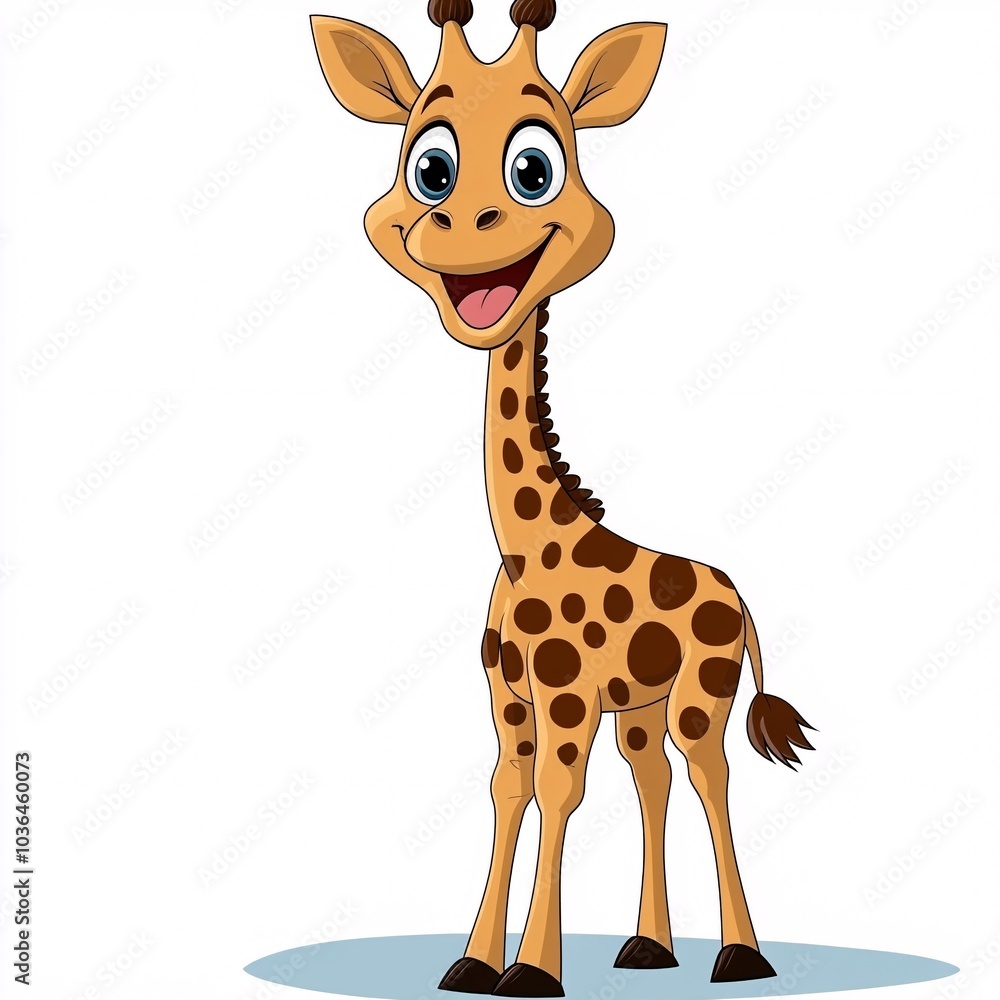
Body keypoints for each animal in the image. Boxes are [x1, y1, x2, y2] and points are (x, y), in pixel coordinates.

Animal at [311, 2, 815, 995]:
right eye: (428, 165)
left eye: (535, 169)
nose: (459, 224)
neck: (522, 543)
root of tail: (738, 596)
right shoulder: (508, 692)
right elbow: (510, 788)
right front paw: (475, 961)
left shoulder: (566, 689)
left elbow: (559, 790)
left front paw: (533, 970)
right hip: (644, 705)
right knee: (652, 779)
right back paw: (649, 947)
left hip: (701, 692)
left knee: (708, 774)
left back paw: (739, 955)